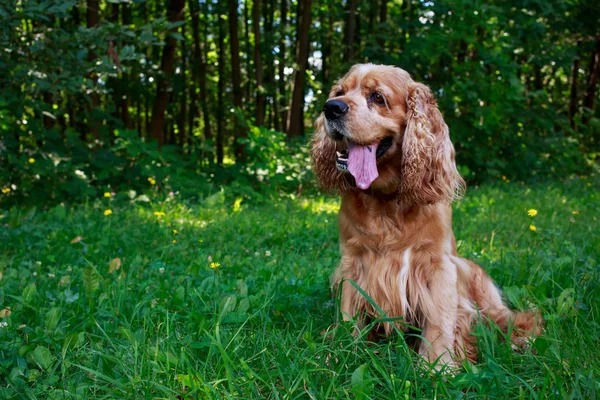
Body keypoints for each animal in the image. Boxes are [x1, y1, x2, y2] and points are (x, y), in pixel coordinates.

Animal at [312, 63, 540, 368]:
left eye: (377, 97)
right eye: (339, 92)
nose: (331, 108)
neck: (386, 202)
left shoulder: (437, 266)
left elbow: (439, 322)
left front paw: (437, 366)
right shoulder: (352, 262)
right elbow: (349, 313)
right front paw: (340, 353)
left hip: (473, 278)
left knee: (508, 318)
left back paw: (521, 341)